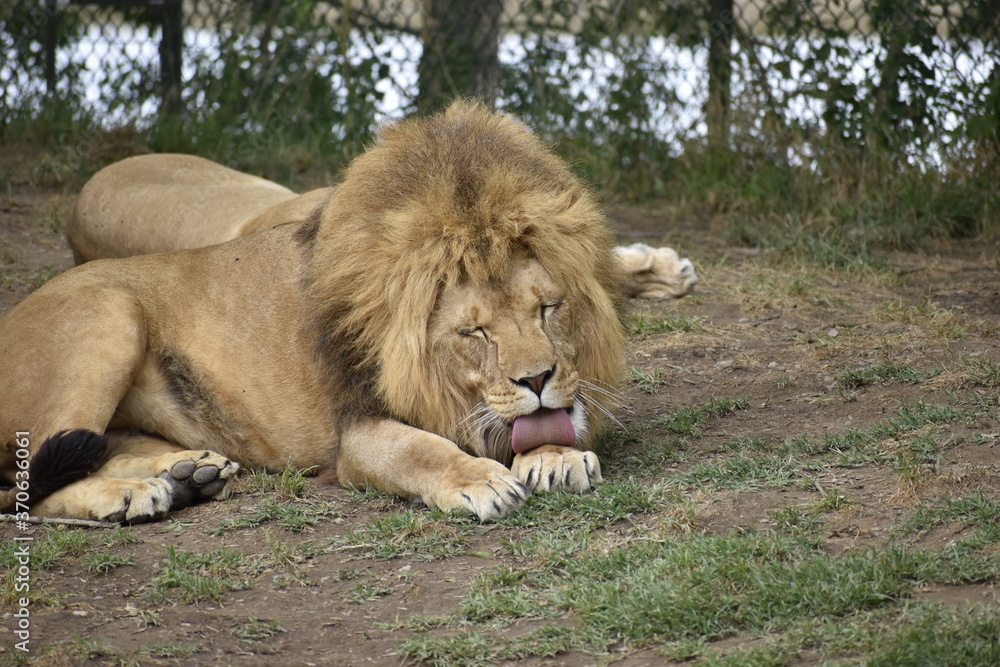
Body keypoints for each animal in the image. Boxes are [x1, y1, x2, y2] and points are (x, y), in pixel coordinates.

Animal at [0, 102, 624, 524]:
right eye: (474, 332)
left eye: (548, 309)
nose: (537, 379)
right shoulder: (356, 428)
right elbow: (419, 449)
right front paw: (479, 479)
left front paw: (555, 455)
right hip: (111, 311)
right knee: (26, 484)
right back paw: (132, 495)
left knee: (92, 450)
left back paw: (189, 473)